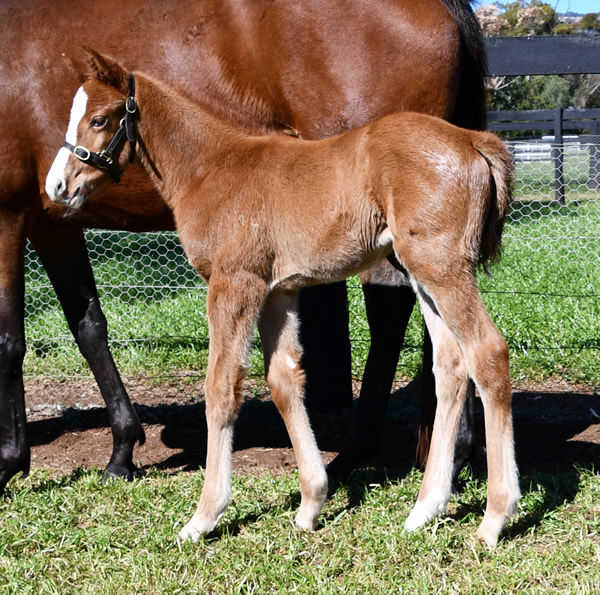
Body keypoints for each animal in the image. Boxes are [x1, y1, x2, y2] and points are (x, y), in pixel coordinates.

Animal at [47, 52, 516, 548]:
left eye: (99, 119)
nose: (56, 186)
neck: (210, 169)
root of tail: (472, 140)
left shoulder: (235, 283)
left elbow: (221, 387)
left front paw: (204, 517)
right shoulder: (278, 291)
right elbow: (284, 380)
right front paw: (311, 504)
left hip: (442, 268)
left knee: (488, 352)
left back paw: (494, 518)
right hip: (424, 274)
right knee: (451, 365)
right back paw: (425, 509)